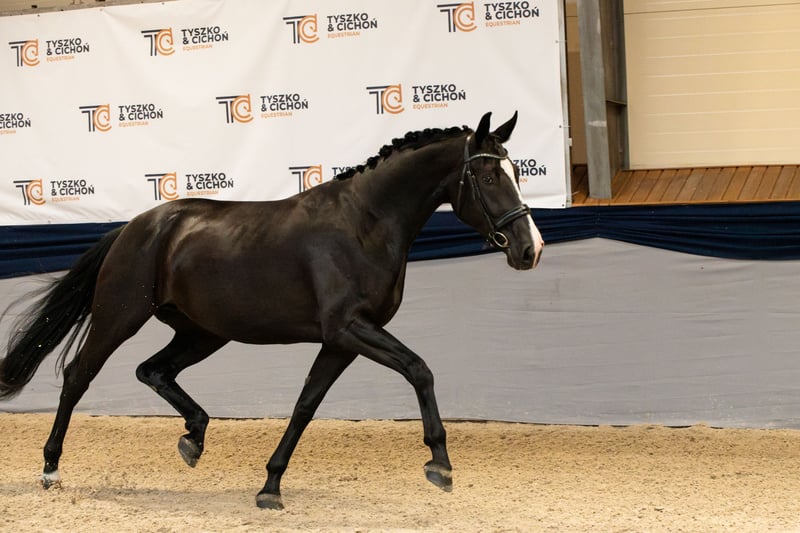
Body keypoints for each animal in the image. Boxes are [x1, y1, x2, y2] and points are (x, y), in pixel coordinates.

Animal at [0, 111, 543, 509]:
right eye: (488, 175)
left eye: (518, 171)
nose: (530, 249)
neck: (365, 224)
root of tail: (135, 225)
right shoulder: (350, 329)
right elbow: (419, 369)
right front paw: (440, 465)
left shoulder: (341, 341)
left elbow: (306, 405)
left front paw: (270, 487)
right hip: (120, 316)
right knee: (79, 375)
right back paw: (51, 469)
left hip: (203, 332)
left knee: (152, 370)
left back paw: (193, 438)